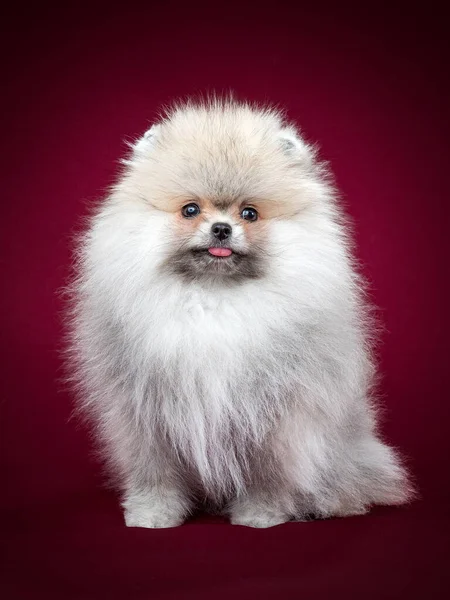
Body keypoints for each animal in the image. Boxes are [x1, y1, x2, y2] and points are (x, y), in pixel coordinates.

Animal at [68, 97, 414, 524]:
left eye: (249, 213)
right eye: (190, 210)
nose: (221, 228)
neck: (214, 296)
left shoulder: (276, 415)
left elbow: (268, 470)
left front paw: (261, 513)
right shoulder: (146, 411)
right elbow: (155, 470)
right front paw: (153, 513)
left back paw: (335, 501)